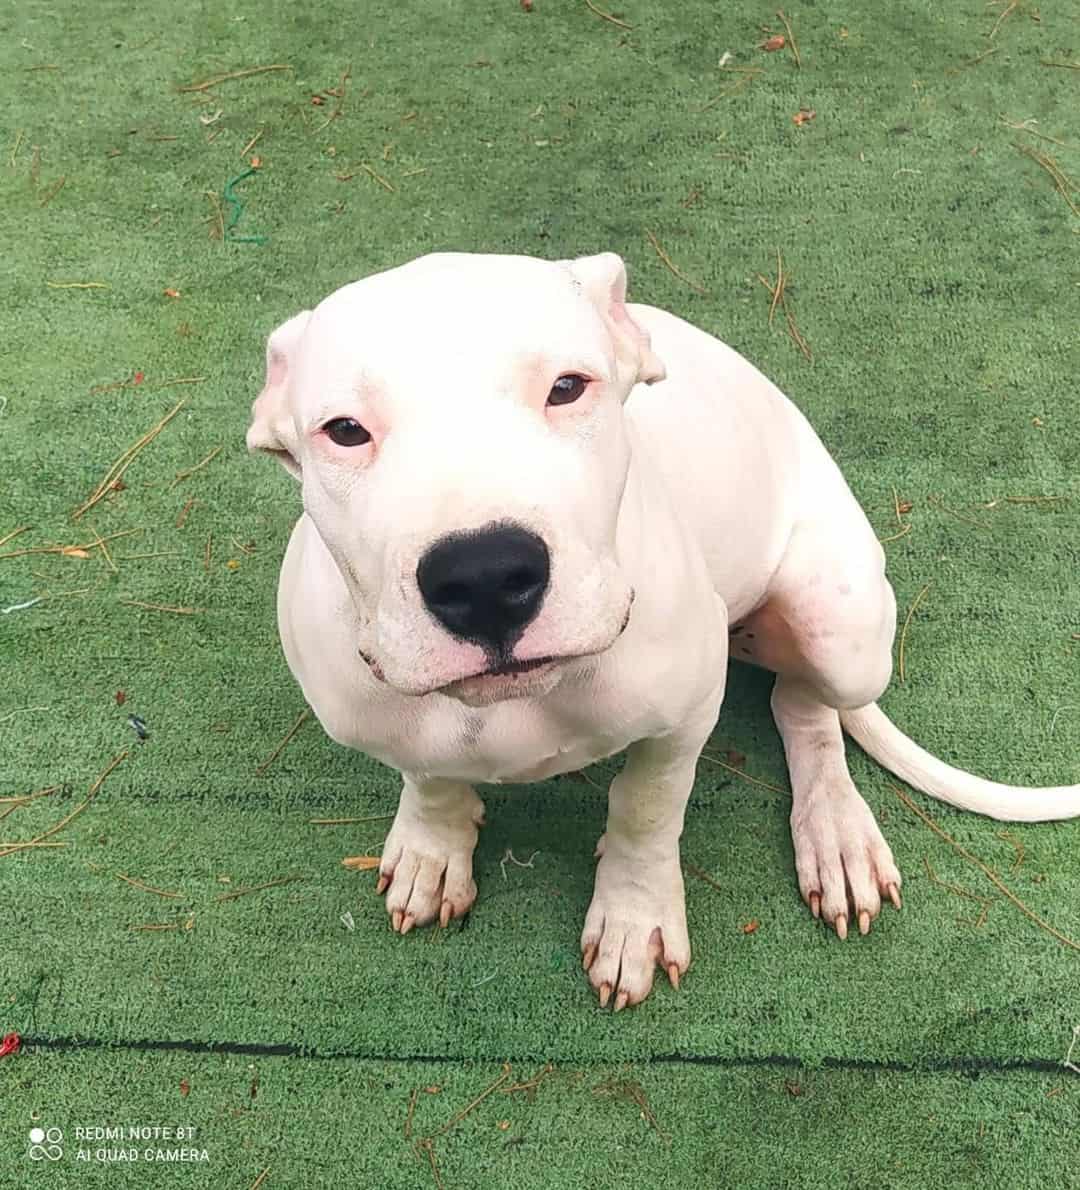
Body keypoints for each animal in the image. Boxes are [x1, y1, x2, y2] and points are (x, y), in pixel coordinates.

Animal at [246, 255, 1080, 1009]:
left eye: (568, 387)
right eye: (344, 431)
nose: (483, 578)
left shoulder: (684, 716)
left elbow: (645, 809)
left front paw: (633, 918)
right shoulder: (384, 720)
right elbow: (428, 776)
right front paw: (433, 846)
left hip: (840, 624)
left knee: (804, 704)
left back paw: (836, 832)